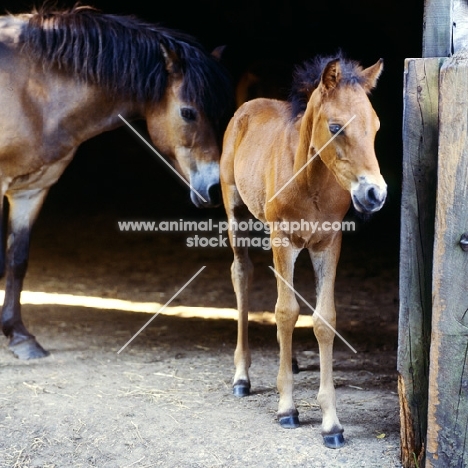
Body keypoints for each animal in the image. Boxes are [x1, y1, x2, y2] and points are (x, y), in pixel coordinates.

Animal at [0, 4, 234, 358]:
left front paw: (20, 337)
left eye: (221, 114)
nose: (214, 188)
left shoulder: (31, 190)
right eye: (188, 112)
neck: (30, 89)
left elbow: (17, 259)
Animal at [221, 54, 386, 450]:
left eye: (375, 126)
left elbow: (323, 318)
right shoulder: (283, 238)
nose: (375, 194)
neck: (311, 181)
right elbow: (285, 312)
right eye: (337, 127)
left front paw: (332, 424)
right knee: (242, 274)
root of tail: (247, 106)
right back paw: (242, 376)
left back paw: (290, 360)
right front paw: (287, 408)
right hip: (235, 210)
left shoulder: (329, 242)